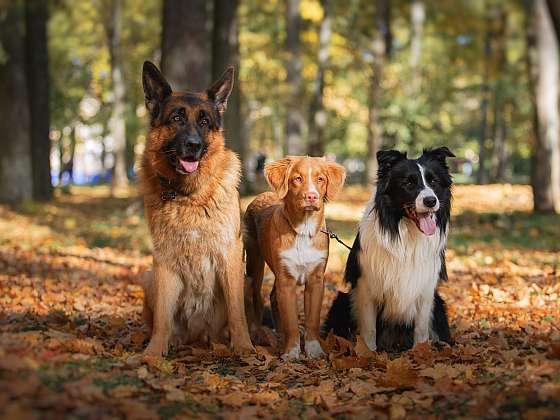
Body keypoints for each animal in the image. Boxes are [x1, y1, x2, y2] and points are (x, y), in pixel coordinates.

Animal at [140, 60, 254, 356]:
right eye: (176, 118)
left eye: (204, 121)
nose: (193, 145)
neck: (187, 196)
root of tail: (196, 336)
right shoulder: (164, 259)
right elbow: (162, 317)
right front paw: (154, 353)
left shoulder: (230, 254)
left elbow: (237, 313)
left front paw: (244, 348)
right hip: (149, 278)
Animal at [245, 156, 346, 360]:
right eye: (297, 179)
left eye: (321, 179)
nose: (312, 196)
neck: (303, 231)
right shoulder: (286, 281)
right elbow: (291, 320)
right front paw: (292, 351)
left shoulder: (316, 280)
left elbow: (312, 319)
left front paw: (313, 349)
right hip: (255, 264)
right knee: (256, 297)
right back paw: (260, 335)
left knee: (273, 297)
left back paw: (279, 336)